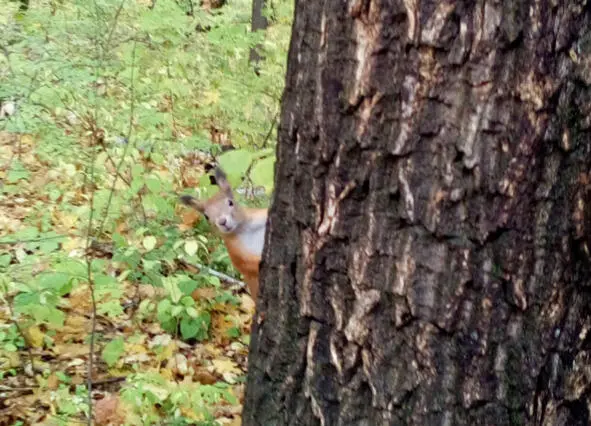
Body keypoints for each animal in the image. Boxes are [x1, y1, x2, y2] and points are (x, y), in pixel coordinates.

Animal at [178, 168, 266, 302]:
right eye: (206, 216)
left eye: (230, 202)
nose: (222, 222)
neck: (244, 229)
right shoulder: (235, 252)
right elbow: (247, 264)